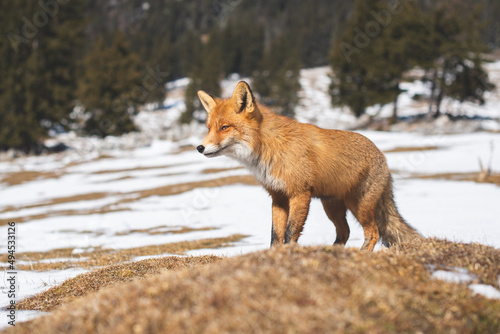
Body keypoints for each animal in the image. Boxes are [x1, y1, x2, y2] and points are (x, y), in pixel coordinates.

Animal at [196, 82, 422, 250]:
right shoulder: (278, 197)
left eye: (224, 127)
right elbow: (275, 237)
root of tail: (383, 157)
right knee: (345, 232)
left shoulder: (300, 193)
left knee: (372, 233)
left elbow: (289, 234)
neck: (270, 147)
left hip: (360, 205)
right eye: (209, 128)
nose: (200, 147)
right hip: (332, 207)